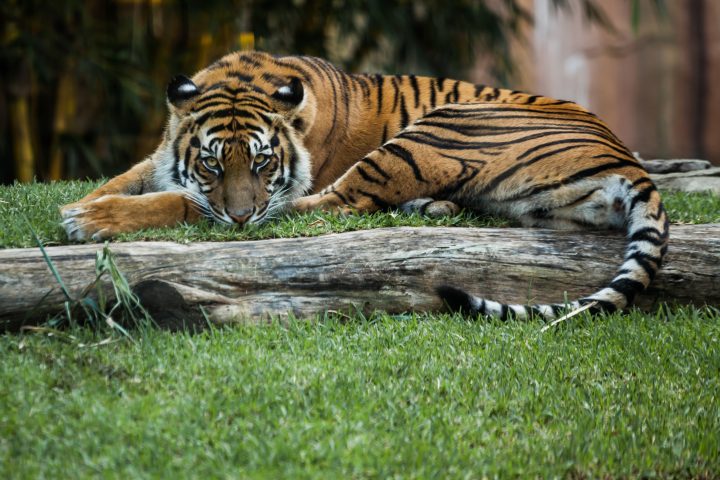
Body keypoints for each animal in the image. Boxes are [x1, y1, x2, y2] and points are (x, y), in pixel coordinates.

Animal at [60, 51, 669, 321]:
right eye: (212, 164)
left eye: (261, 164)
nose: (240, 218)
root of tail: (627, 158)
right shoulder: (163, 157)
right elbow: (126, 178)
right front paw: (82, 204)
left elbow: (177, 203)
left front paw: (88, 220)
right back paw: (433, 208)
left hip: (441, 126)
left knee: (337, 203)